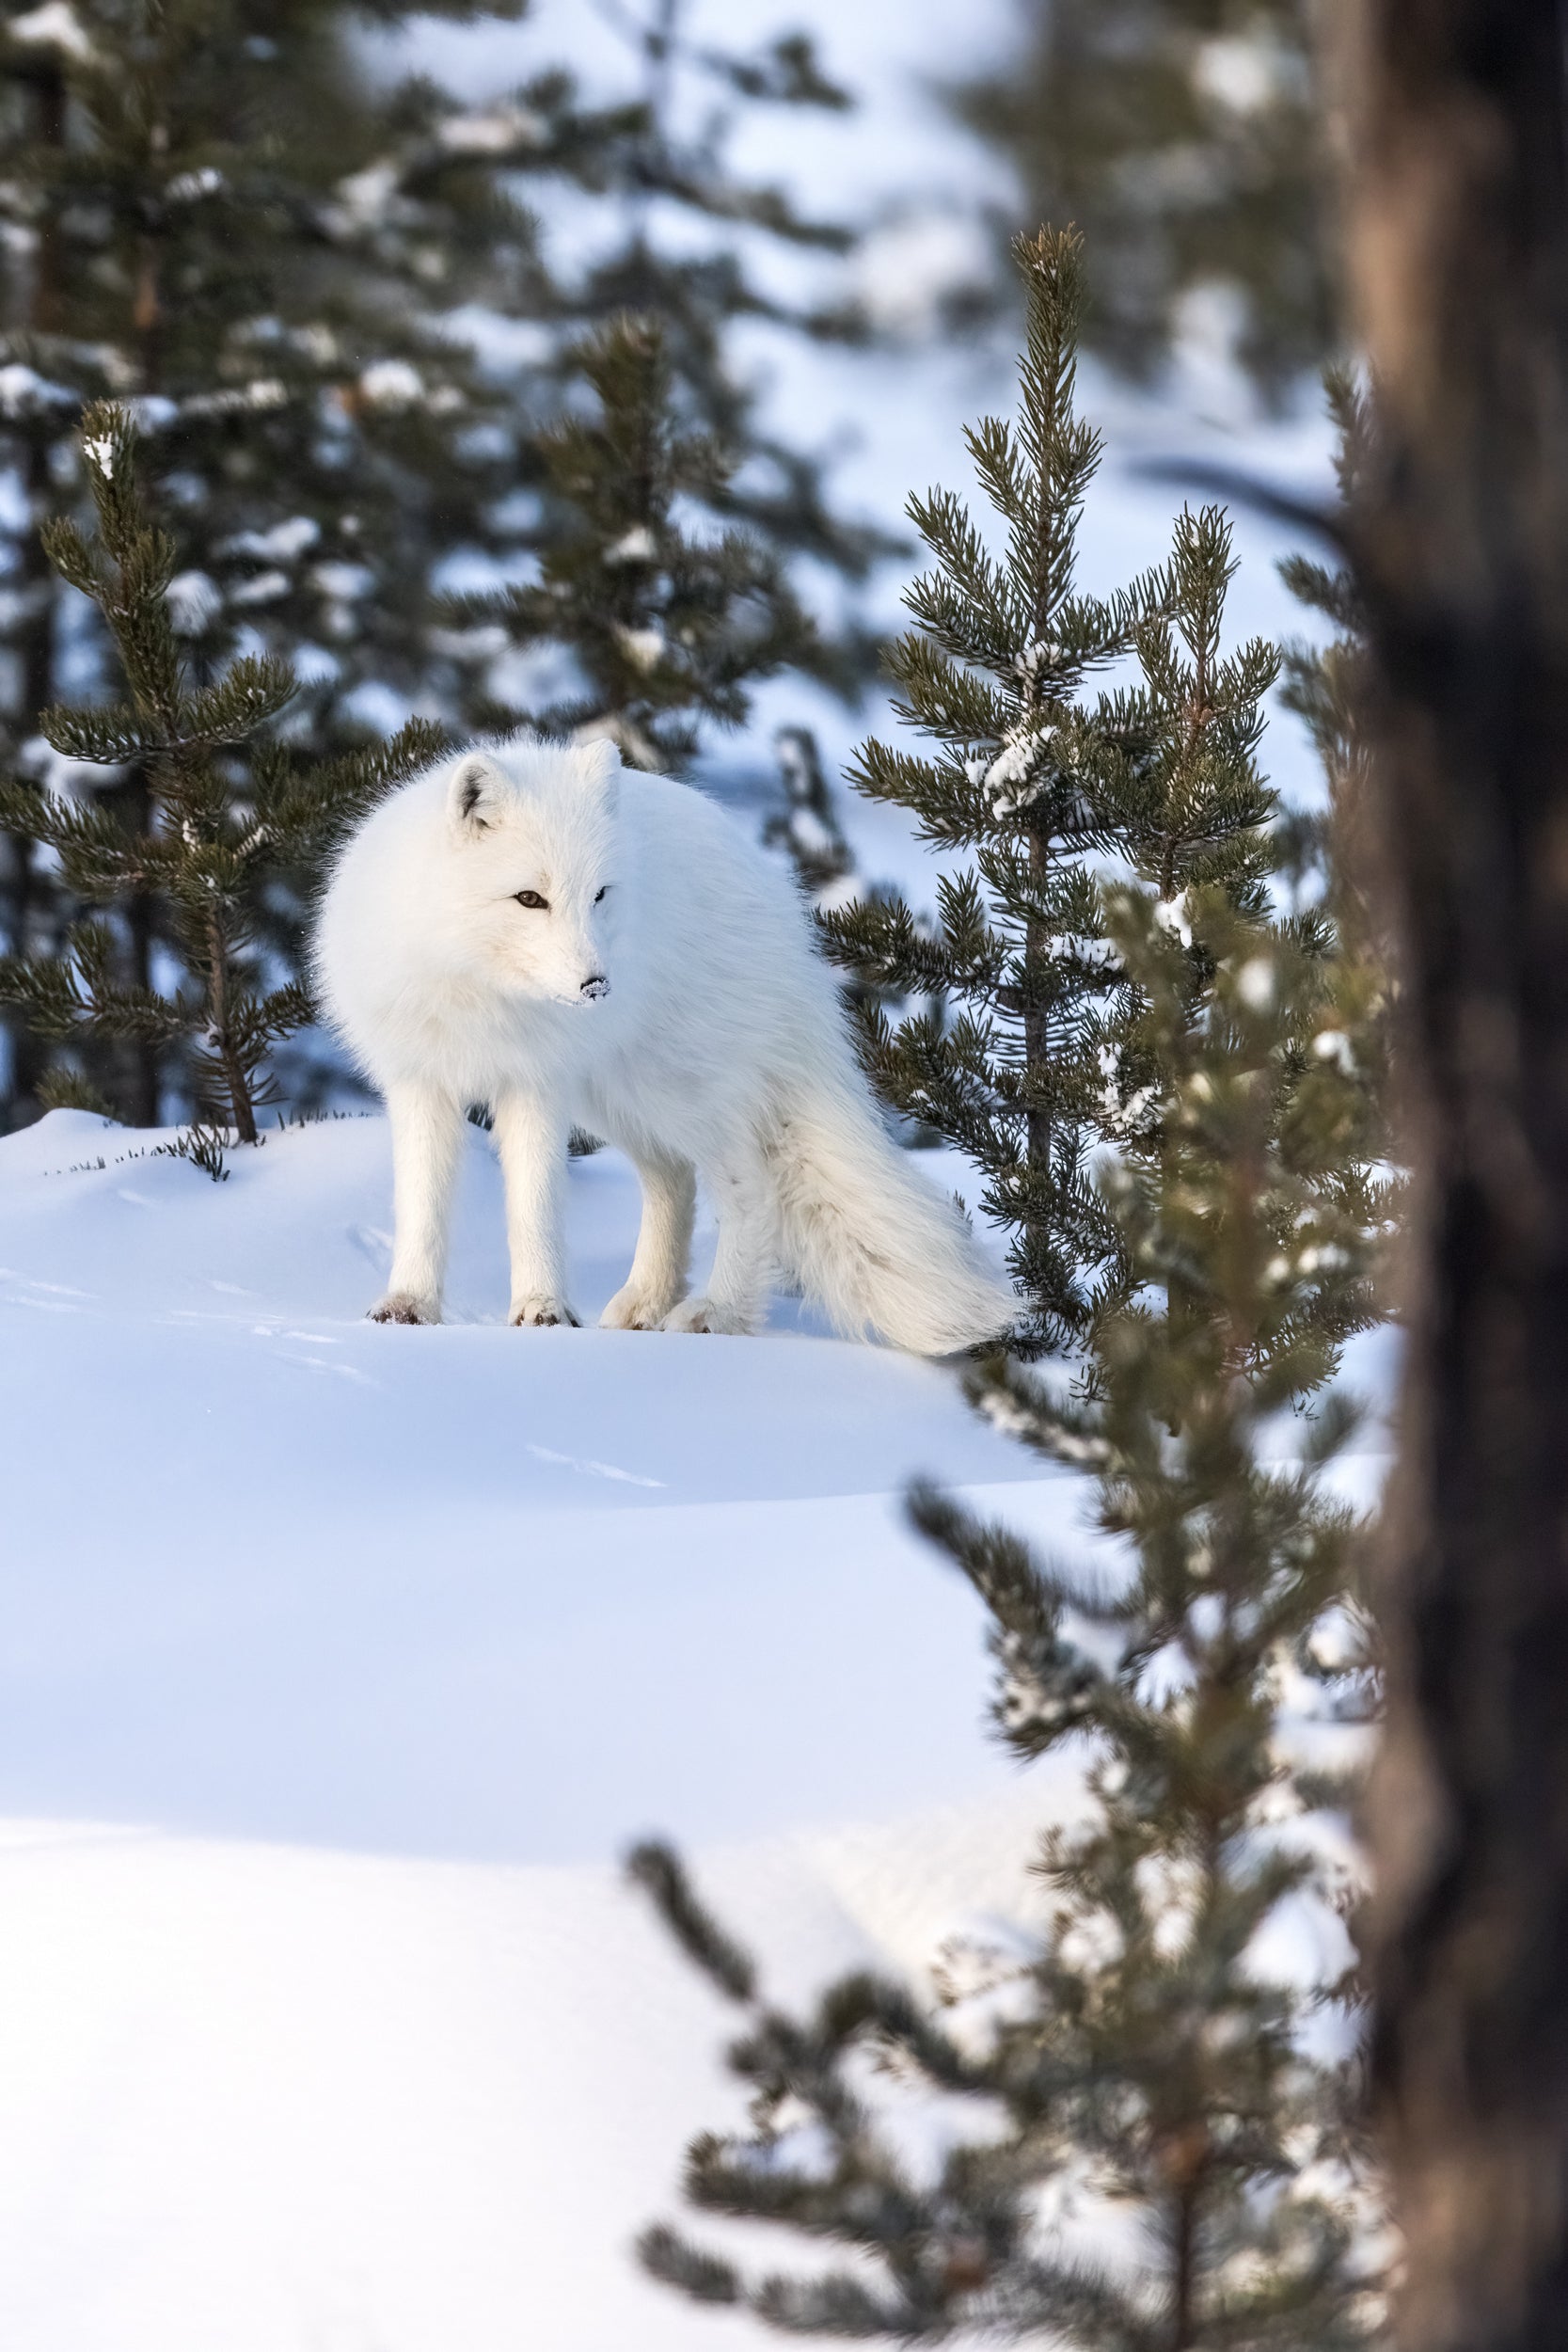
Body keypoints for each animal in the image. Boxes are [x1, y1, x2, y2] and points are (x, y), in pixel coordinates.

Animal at [312, 733, 1015, 1352]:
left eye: (599, 895)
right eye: (529, 898)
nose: (596, 986)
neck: (483, 995)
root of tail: (783, 910)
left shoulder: (538, 1085)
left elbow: (534, 1206)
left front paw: (541, 1314)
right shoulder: (419, 1081)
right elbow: (420, 1208)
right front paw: (408, 1308)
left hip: (675, 1091)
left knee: (748, 1186)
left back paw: (717, 1313)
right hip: (618, 1098)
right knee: (673, 1181)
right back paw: (646, 1303)